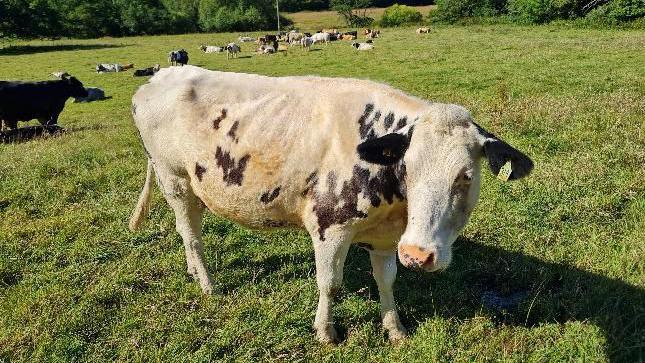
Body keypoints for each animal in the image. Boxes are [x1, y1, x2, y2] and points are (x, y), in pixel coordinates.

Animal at [128, 65, 532, 344]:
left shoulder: (386, 238)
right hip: (174, 180)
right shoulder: (329, 227)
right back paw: (207, 283)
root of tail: (162, 74)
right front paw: (326, 333)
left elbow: (387, 281)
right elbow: (330, 284)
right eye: (408, 167)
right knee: (191, 234)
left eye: (465, 176)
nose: (418, 255)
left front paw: (395, 329)